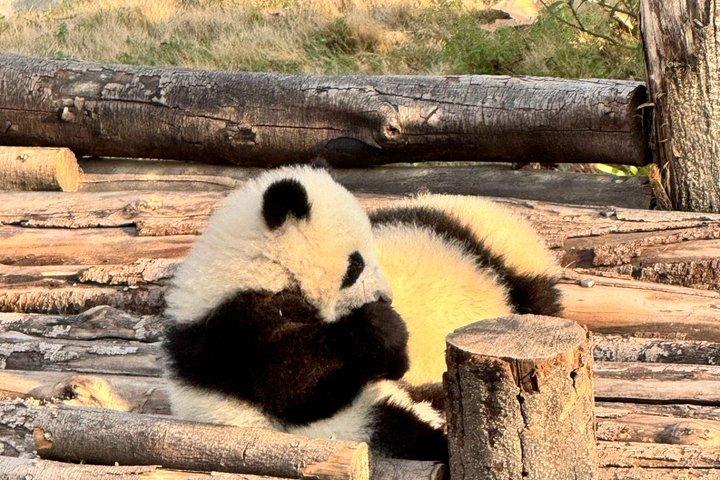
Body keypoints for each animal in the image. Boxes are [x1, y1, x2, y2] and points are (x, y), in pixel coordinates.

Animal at [163, 165, 447, 462]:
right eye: (355, 265)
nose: (385, 297)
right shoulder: (238, 330)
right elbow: (298, 383)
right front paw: (383, 326)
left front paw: (394, 351)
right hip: (353, 424)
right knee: (399, 429)